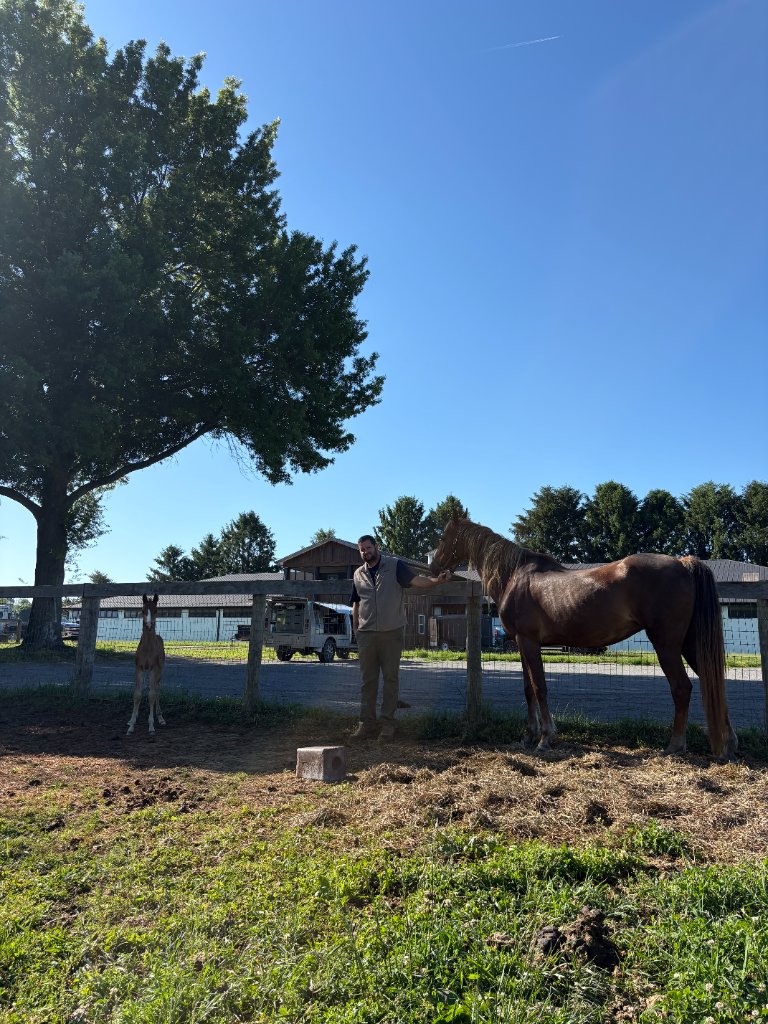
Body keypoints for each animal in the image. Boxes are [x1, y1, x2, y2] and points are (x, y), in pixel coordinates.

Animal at [128, 593, 166, 737]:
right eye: (143, 610)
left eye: (156, 610)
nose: (149, 625)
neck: (147, 648)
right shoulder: (139, 668)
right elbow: (137, 694)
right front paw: (131, 725)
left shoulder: (154, 669)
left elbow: (151, 695)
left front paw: (151, 726)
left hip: (159, 670)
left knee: (157, 689)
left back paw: (160, 717)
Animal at [430, 516, 737, 759]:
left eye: (443, 537)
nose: (433, 568)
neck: (515, 577)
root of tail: (683, 563)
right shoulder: (520, 643)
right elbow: (528, 689)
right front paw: (528, 736)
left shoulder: (528, 642)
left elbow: (540, 688)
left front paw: (545, 738)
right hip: (690, 643)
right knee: (711, 680)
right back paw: (728, 744)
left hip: (667, 645)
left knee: (682, 688)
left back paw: (674, 746)